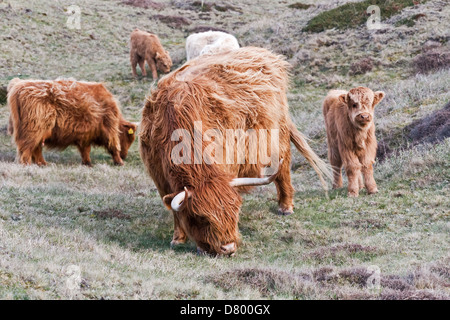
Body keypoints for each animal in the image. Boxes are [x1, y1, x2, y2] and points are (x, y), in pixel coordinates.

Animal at [7, 78, 136, 166]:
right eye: (129, 138)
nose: (124, 156)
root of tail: (20, 85)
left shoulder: (85, 134)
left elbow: (85, 150)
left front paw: (87, 163)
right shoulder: (110, 128)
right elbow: (114, 146)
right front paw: (119, 162)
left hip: (38, 132)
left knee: (35, 148)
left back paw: (42, 163)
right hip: (34, 129)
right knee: (27, 149)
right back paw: (28, 164)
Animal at [139, 46, 332, 255]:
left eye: (234, 212)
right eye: (201, 217)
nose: (228, 247)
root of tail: (264, 53)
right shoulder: (160, 178)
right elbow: (175, 211)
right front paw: (177, 239)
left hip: (278, 137)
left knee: (283, 169)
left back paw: (285, 206)